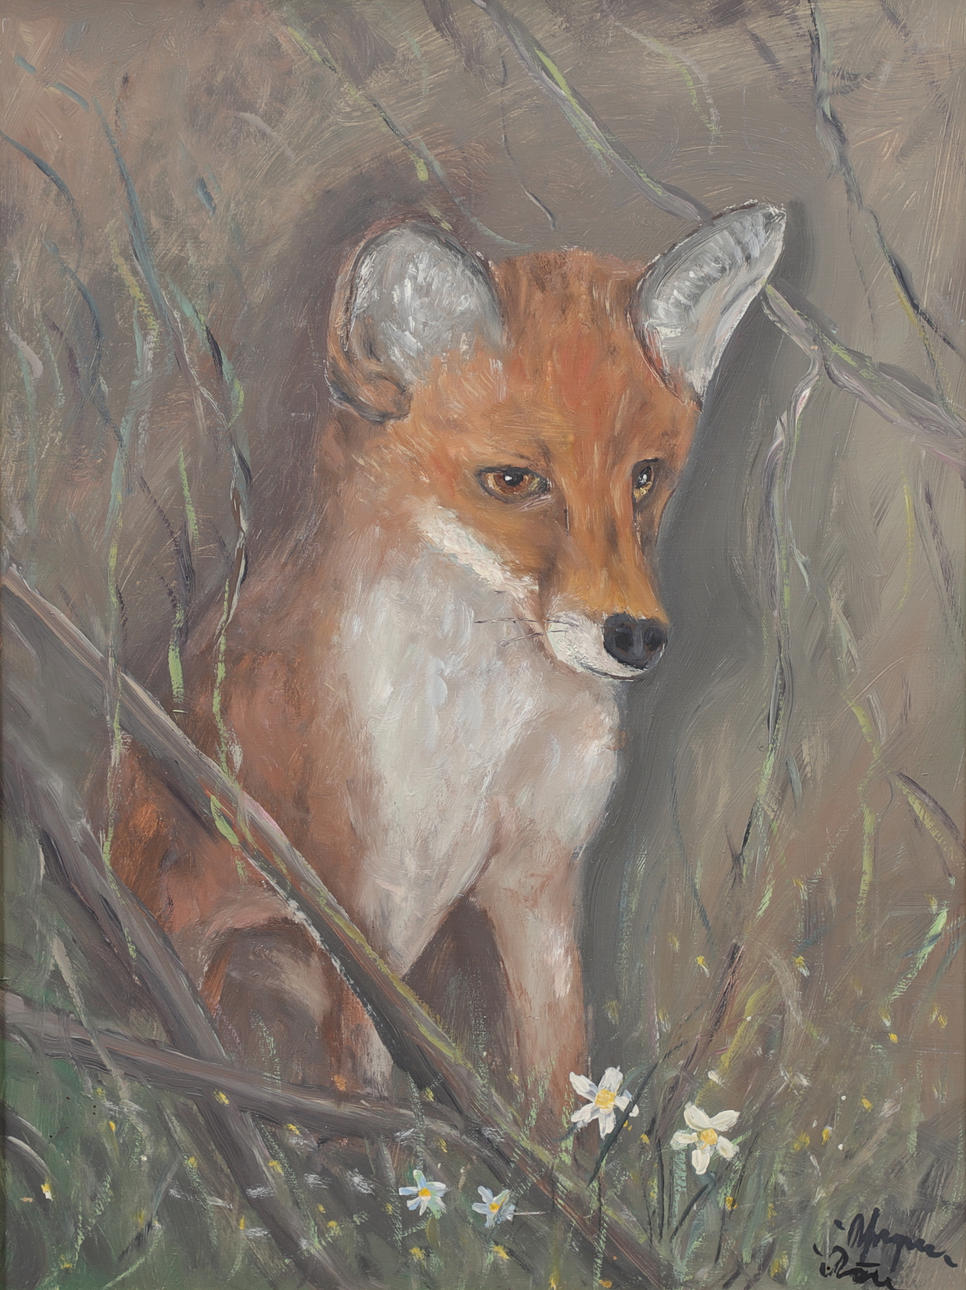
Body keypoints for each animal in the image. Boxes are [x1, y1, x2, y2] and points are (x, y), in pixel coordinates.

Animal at [110, 203, 785, 1122]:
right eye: (513, 480)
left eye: (645, 477)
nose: (637, 637)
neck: (492, 732)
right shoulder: (369, 924)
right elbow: (376, 1106)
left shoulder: (538, 885)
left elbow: (561, 1084)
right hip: (237, 947)